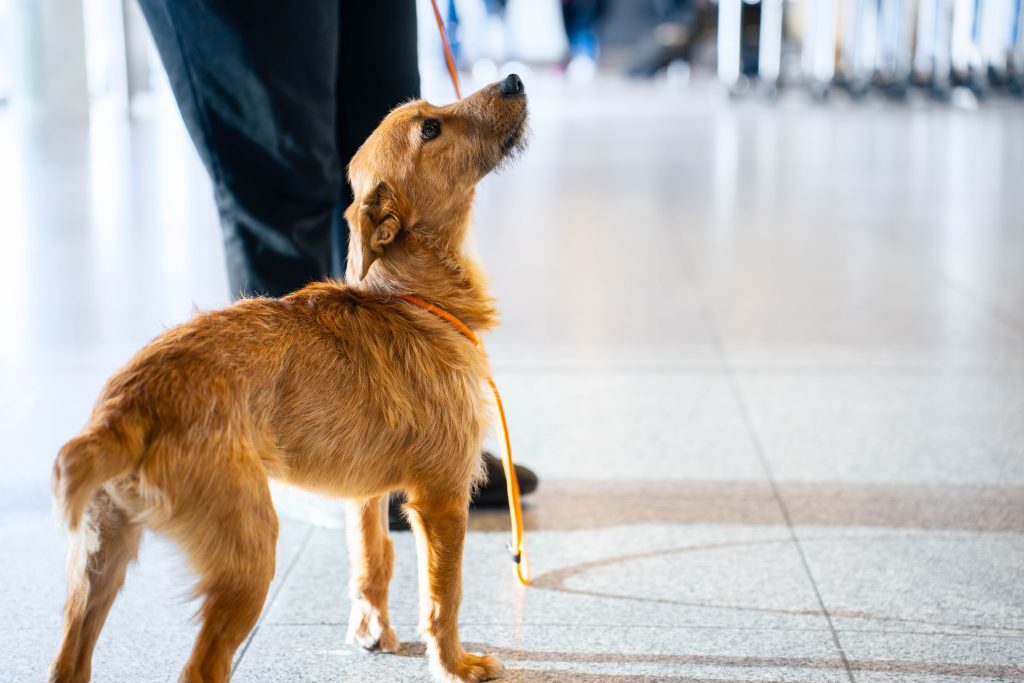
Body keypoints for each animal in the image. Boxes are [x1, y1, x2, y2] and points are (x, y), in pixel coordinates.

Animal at [48, 74, 528, 683]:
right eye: (430, 127)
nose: (513, 79)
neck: (407, 295)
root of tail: (124, 414)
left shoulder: (364, 496)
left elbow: (374, 560)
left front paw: (371, 632)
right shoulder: (441, 500)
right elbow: (444, 598)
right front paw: (454, 665)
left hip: (97, 562)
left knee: (70, 661)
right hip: (249, 555)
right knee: (201, 667)